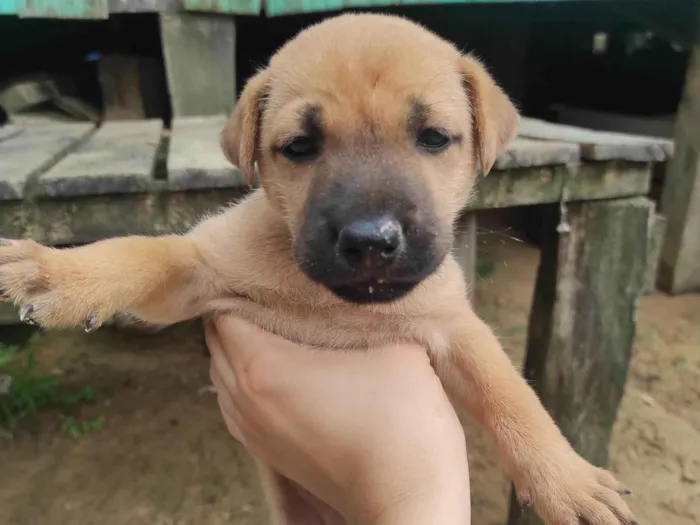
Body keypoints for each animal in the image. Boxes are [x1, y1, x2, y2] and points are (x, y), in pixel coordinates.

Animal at [0, 12, 636, 524]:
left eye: (434, 137)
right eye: (299, 146)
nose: (371, 241)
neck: (329, 302)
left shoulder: (455, 328)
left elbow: (513, 398)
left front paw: (569, 482)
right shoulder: (201, 274)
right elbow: (138, 252)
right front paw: (54, 271)